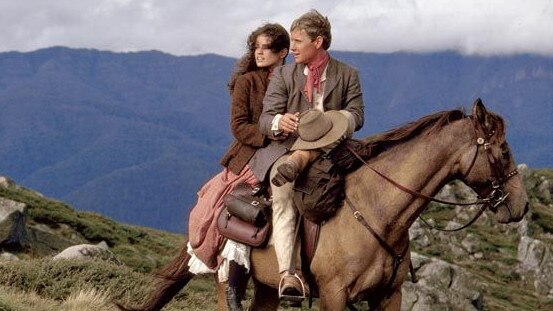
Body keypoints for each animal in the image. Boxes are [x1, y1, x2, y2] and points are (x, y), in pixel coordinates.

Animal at [115, 100, 528, 311]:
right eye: (504, 151)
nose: (521, 206)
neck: (378, 212)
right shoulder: (334, 295)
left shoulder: (388, 297)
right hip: (228, 279)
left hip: (267, 288)